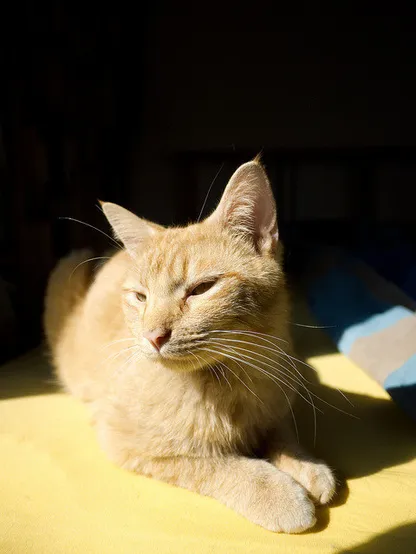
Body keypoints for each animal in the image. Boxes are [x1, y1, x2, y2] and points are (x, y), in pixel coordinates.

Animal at [44, 158, 334, 532]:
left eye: (201, 289)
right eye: (140, 297)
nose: (153, 336)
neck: (228, 383)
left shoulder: (275, 402)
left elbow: (279, 431)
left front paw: (304, 462)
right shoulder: (128, 442)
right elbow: (217, 464)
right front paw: (275, 492)